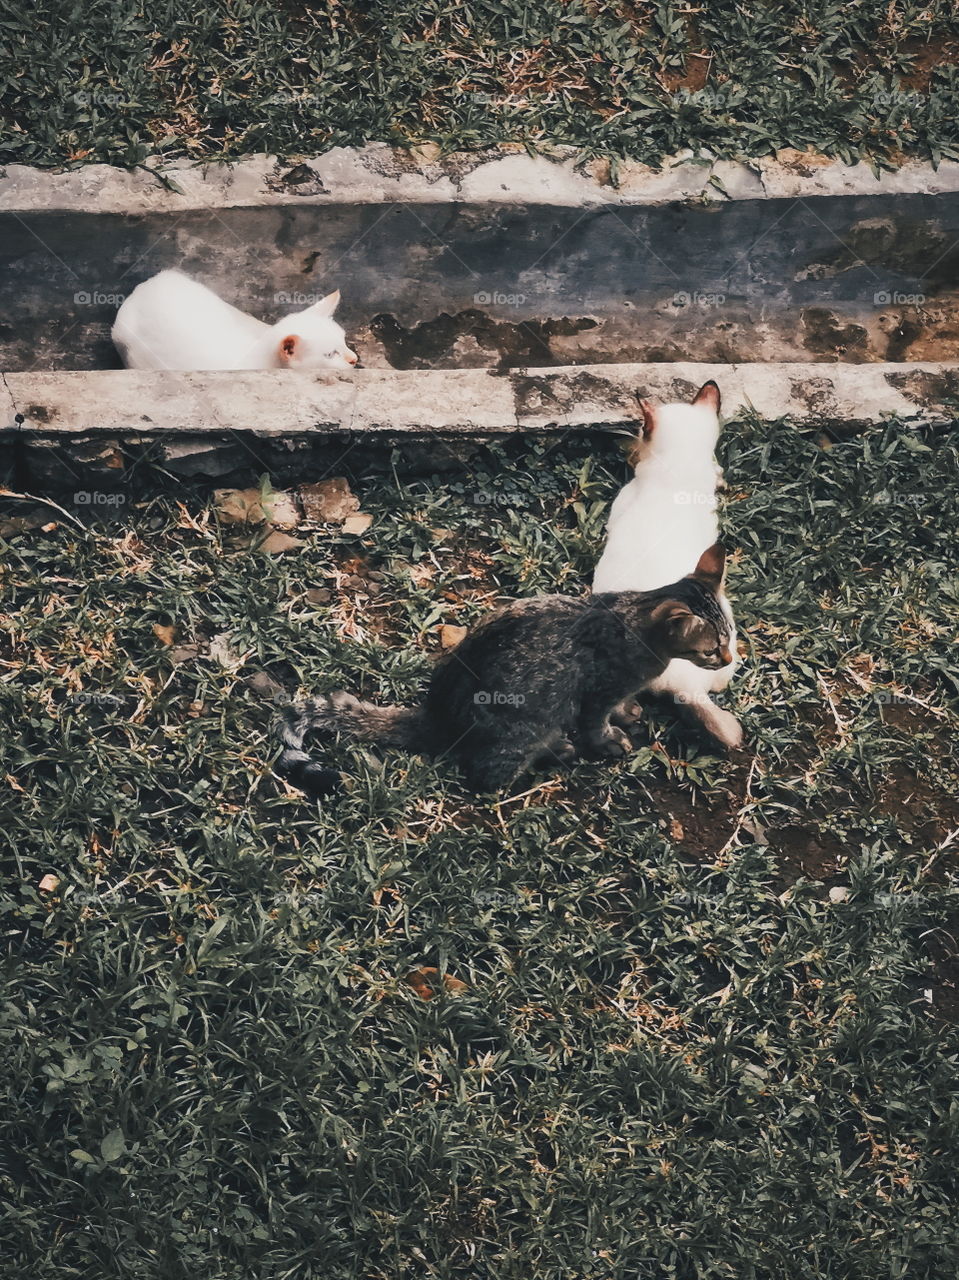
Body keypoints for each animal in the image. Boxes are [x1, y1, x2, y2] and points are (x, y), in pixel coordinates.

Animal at [280, 542, 727, 798]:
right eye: (712, 649)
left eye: (731, 637)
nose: (728, 660)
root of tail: (436, 713)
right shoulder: (597, 693)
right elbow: (597, 722)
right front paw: (608, 739)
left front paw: (628, 711)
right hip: (524, 730)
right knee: (485, 775)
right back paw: (553, 754)